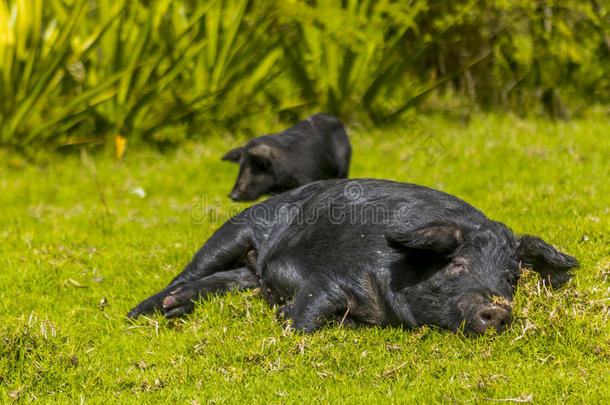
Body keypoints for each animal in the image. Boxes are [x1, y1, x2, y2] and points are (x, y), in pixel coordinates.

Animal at [127, 178, 576, 332]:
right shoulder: (336, 270)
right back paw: (142, 313)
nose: (497, 309)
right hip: (235, 230)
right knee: (189, 273)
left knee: (226, 281)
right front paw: (285, 319)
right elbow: (309, 314)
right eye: (456, 264)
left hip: (245, 272)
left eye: (511, 278)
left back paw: (175, 309)